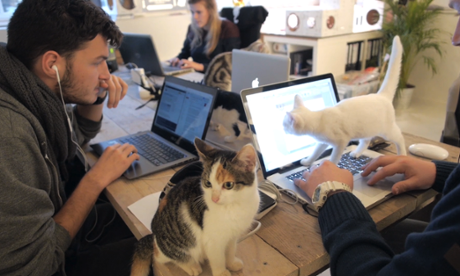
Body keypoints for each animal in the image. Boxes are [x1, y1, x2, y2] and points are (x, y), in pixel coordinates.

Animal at [130, 138, 258, 276]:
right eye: (208, 183)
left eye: (228, 185)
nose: (214, 198)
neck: (233, 206)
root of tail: (154, 238)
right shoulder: (212, 241)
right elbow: (217, 259)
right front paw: (221, 272)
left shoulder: (232, 236)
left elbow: (230, 250)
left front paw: (232, 263)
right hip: (178, 247)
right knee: (162, 256)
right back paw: (191, 266)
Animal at [284, 35, 406, 165]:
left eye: (284, 124)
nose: (283, 129)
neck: (318, 120)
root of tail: (381, 95)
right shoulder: (322, 142)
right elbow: (315, 153)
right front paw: (307, 162)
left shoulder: (341, 142)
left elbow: (334, 158)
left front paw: (329, 165)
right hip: (366, 129)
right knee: (366, 141)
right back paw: (356, 152)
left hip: (386, 130)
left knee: (399, 137)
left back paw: (402, 155)